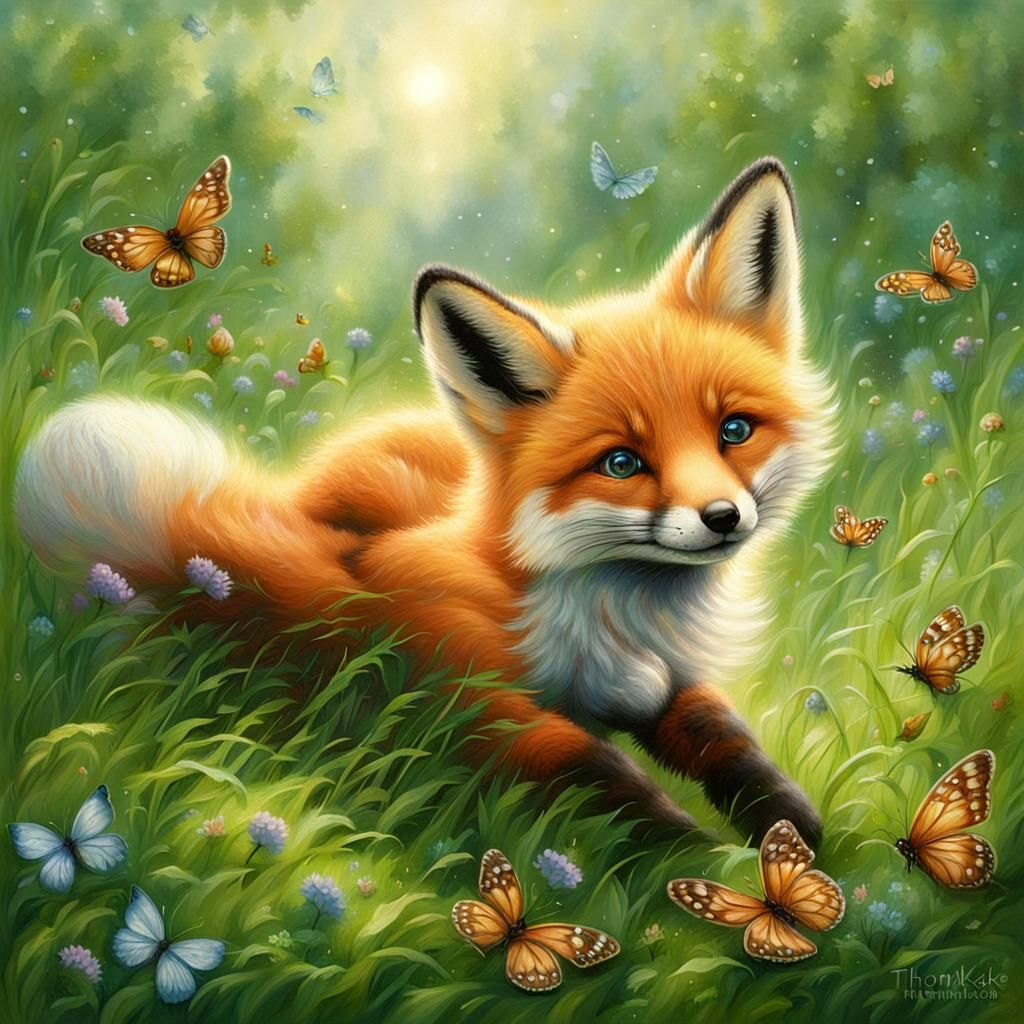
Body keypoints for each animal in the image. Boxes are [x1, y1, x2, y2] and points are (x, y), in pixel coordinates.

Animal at [16, 157, 832, 844]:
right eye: (622, 462)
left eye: (734, 430)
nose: (723, 518)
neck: (617, 624)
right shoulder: (458, 688)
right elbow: (588, 767)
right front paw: (705, 864)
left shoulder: (672, 684)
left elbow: (724, 736)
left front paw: (785, 826)